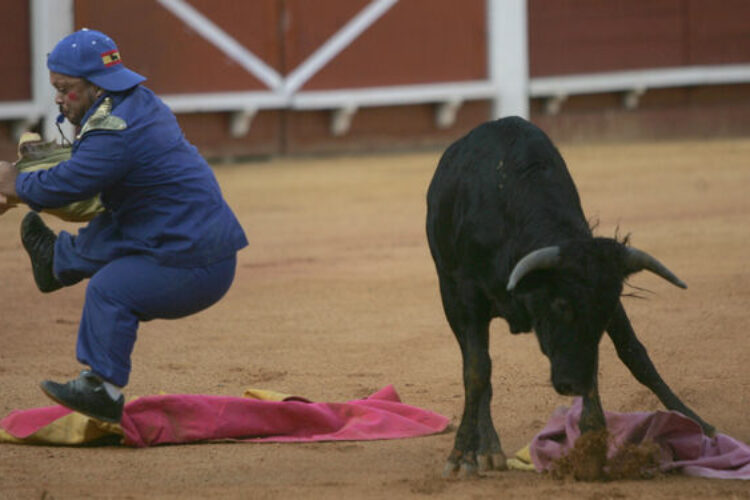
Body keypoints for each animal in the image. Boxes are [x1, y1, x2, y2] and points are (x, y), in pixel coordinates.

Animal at [426, 116, 712, 476]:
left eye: (603, 311)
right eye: (561, 305)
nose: (573, 383)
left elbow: (632, 354)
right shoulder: (467, 296)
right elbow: (477, 371)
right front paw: (461, 455)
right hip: (449, 296)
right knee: (476, 365)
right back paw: (488, 449)